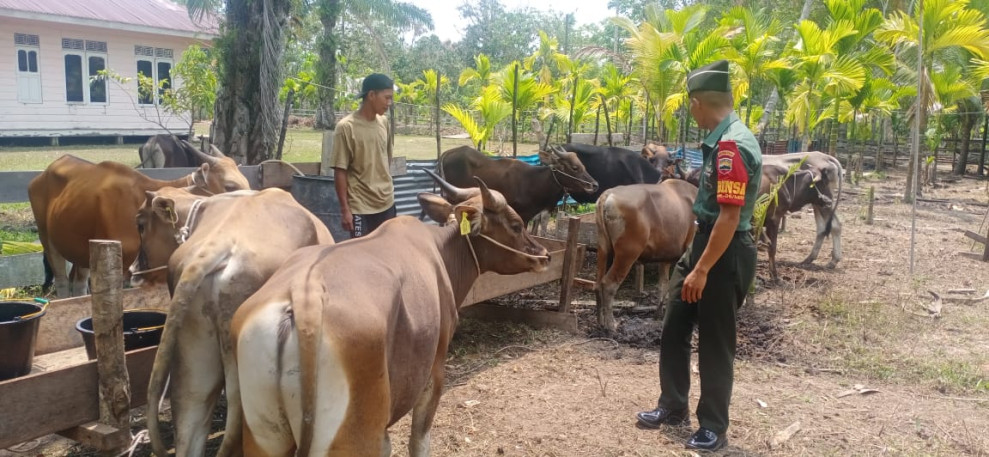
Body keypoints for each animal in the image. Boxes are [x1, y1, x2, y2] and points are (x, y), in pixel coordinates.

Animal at [233, 173, 548, 454]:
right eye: (516, 225)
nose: (544, 255)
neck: (440, 251)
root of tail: (303, 298)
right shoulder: (434, 373)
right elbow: (419, 440)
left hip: (264, 440)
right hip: (352, 440)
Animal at [592, 179, 700, 332]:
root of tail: (607, 195)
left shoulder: (665, 259)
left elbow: (663, 285)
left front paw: (659, 314)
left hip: (603, 248)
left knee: (597, 284)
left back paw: (600, 322)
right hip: (627, 254)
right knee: (608, 284)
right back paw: (611, 325)